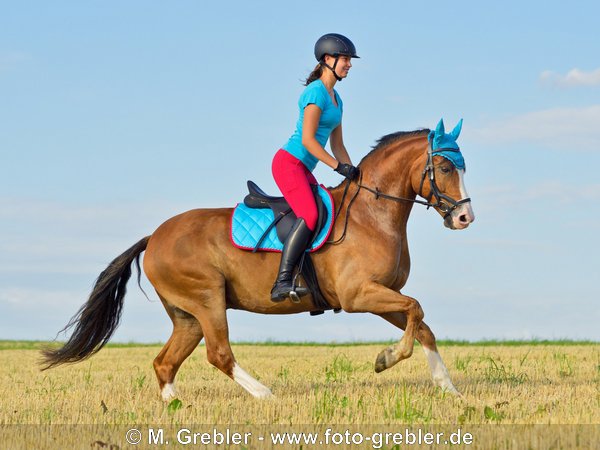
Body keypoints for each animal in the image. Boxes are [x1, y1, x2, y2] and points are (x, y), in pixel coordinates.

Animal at [41, 128, 474, 400]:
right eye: (446, 168)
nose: (464, 217)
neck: (372, 214)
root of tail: (154, 237)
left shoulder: (384, 295)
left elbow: (422, 324)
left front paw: (448, 387)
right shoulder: (359, 296)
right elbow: (417, 310)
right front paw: (386, 359)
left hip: (187, 315)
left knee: (165, 363)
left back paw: (177, 406)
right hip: (207, 301)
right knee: (218, 354)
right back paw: (265, 394)